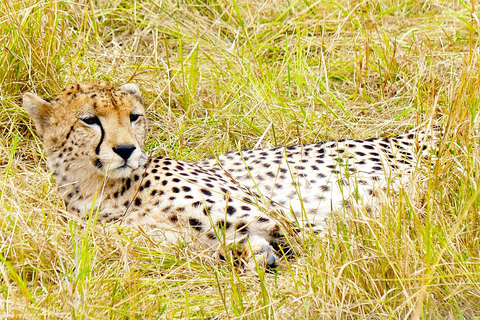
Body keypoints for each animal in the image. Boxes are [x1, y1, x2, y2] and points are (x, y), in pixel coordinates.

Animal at [21, 82, 436, 268]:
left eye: (134, 117)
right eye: (89, 120)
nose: (126, 150)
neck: (100, 189)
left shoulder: (286, 218)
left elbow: (324, 244)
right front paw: (251, 255)